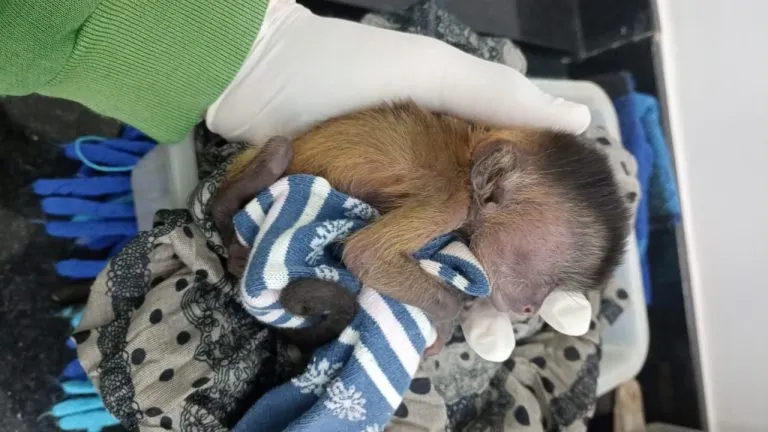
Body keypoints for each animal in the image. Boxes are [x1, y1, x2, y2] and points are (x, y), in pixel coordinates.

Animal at [215, 101, 631, 350]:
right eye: (542, 280)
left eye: (552, 290)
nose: (530, 308)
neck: (469, 158)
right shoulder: (449, 199)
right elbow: (366, 255)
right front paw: (445, 323)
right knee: (278, 151)